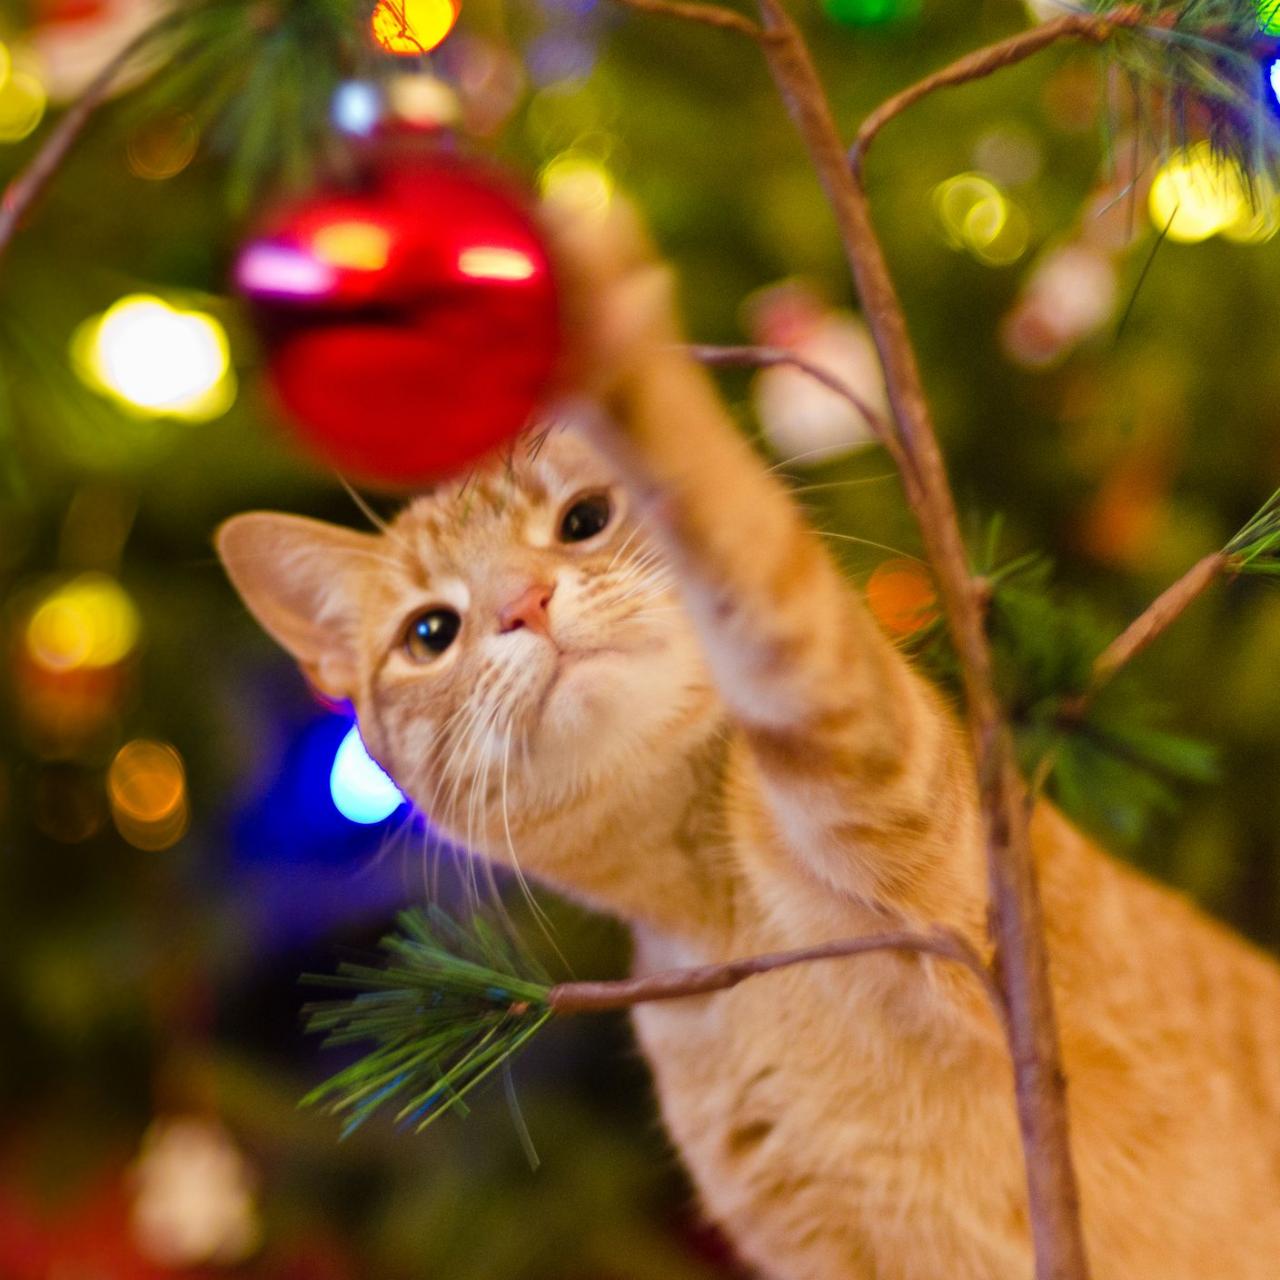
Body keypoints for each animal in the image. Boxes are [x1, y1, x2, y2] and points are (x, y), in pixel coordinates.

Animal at [220, 194, 1280, 1274]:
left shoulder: (885, 769)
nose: (524, 603)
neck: (720, 914)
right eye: (431, 633)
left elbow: (742, 545)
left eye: (585, 519)